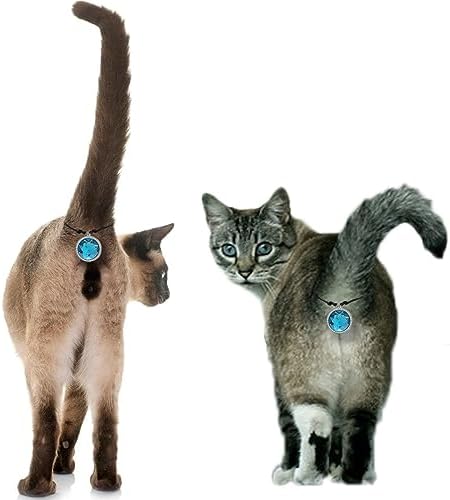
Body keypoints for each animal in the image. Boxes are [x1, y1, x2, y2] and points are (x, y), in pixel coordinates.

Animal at [3, 3, 173, 496]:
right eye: (165, 275)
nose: (169, 294)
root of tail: (89, 228)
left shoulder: (39, 366)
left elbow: (57, 421)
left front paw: (59, 471)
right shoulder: (82, 374)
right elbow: (75, 423)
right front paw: (68, 468)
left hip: (50, 358)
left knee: (44, 421)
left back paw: (34, 485)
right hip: (107, 359)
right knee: (108, 424)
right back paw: (106, 481)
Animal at [202, 185, 446, 485]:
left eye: (263, 248)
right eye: (229, 249)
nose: (244, 271)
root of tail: (340, 286)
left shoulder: (279, 374)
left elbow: (290, 427)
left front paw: (287, 471)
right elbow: (341, 432)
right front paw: (337, 467)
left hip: (303, 379)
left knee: (315, 425)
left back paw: (306, 476)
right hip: (367, 382)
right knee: (360, 428)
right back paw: (355, 477)